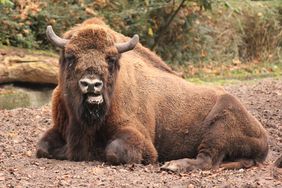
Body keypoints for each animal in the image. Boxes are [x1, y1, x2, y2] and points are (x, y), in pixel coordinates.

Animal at [36, 18, 268, 173]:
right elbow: (42, 147)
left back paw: (173, 165)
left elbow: (115, 150)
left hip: (221, 122)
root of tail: (264, 136)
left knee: (207, 159)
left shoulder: (138, 135)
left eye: (111, 58)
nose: (92, 84)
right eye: (70, 56)